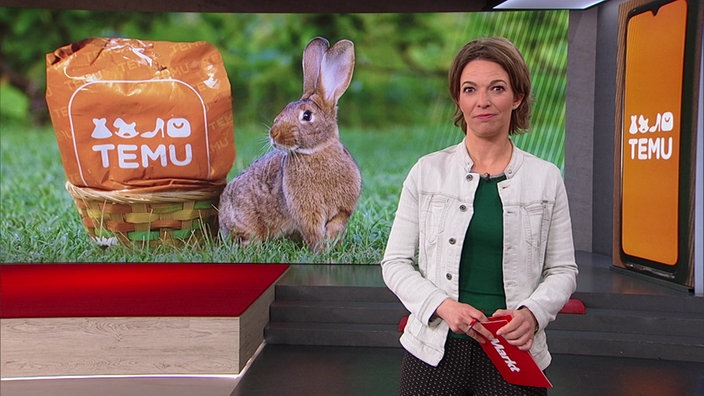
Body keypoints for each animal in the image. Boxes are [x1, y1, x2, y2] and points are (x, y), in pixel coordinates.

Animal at [219, 37, 364, 254]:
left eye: (307, 115)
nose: (274, 134)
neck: (316, 151)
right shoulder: (307, 212)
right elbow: (313, 230)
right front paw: (321, 250)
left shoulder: (343, 209)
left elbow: (337, 224)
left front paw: (329, 245)